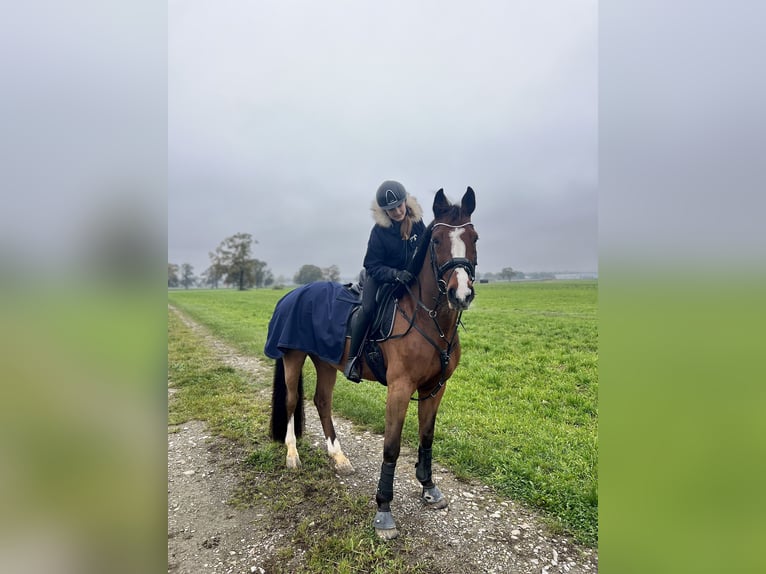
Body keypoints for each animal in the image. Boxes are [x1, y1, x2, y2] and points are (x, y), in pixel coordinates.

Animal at [268, 188, 476, 540]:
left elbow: (426, 438)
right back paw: (292, 455)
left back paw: (338, 457)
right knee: (293, 401)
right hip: (293, 357)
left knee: (322, 401)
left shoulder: (435, 389)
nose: (460, 294)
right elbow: (391, 447)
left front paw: (428, 487)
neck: (428, 319)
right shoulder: (400, 389)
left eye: (474, 237)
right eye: (435, 241)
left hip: (326, 361)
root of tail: (291, 295)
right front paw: (384, 510)